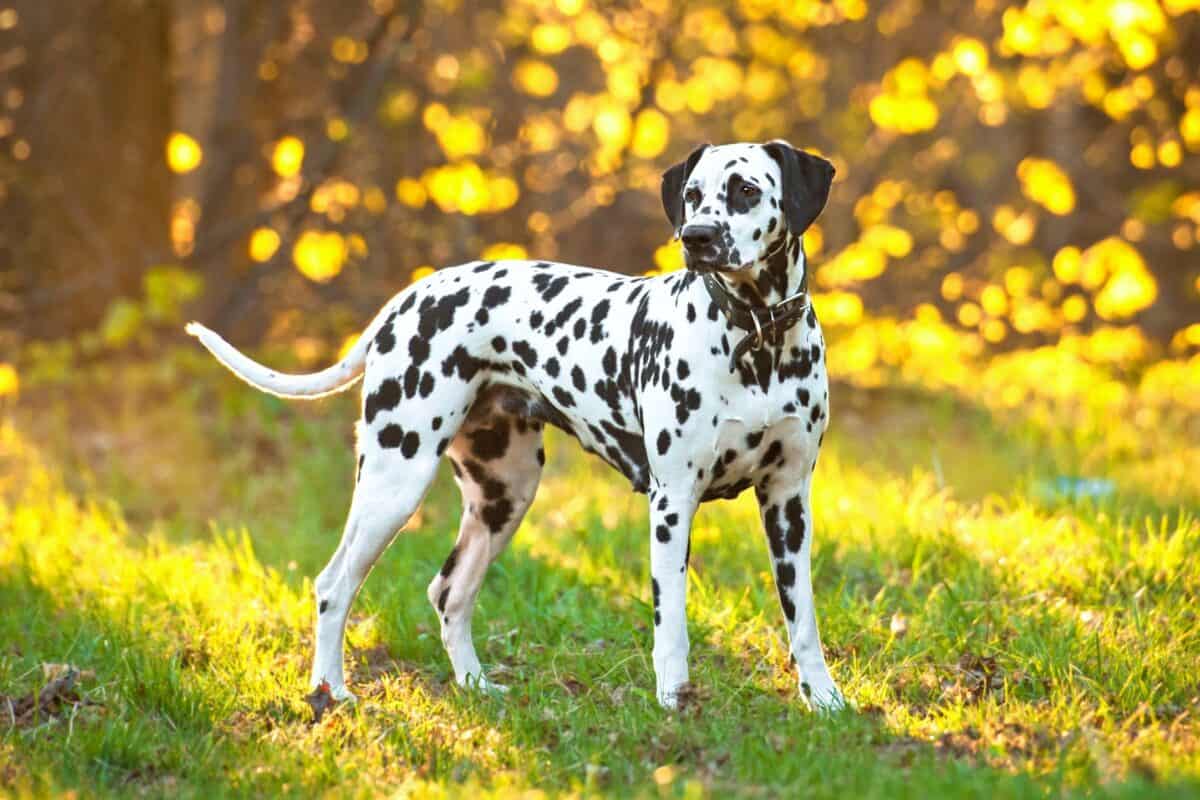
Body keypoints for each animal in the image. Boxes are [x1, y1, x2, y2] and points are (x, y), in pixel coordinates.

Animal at [187, 137, 844, 714]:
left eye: (745, 190)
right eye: (693, 195)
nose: (697, 238)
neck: (758, 339)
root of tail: (406, 299)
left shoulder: (788, 502)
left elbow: (803, 619)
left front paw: (824, 698)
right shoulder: (672, 502)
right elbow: (672, 623)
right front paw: (674, 699)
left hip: (504, 495)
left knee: (449, 592)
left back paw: (475, 686)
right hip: (393, 482)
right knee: (334, 584)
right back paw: (331, 691)